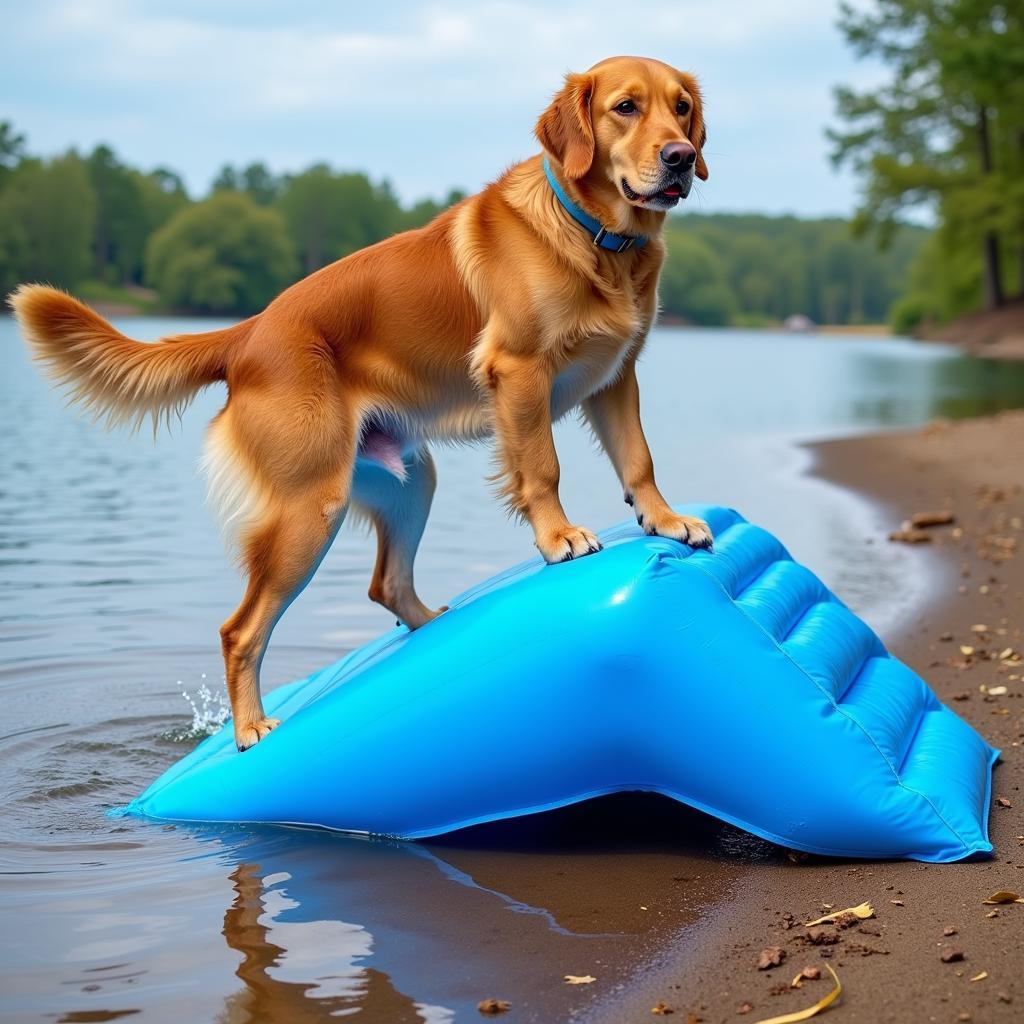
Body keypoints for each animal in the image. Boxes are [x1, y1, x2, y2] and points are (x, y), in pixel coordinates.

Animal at [12, 56, 712, 749]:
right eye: (625, 107)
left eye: (680, 109)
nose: (680, 157)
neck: (595, 238)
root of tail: (248, 332)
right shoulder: (519, 372)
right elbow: (543, 468)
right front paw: (559, 536)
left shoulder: (617, 378)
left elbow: (638, 460)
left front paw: (665, 520)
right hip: (310, 507)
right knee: (241, 630)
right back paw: (251, 727)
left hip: (412, 480)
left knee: (388, 584)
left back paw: (435, 625)